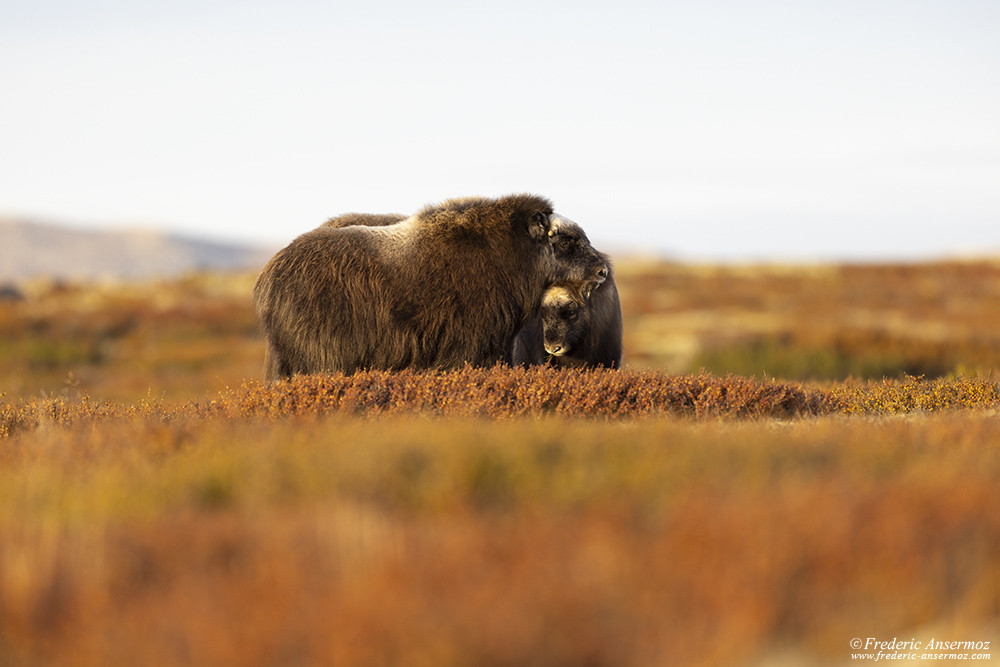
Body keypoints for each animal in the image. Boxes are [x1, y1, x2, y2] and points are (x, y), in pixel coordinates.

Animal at [250, 196, 608, 378]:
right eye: (565, 240)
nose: (603, 270)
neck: (509, 254)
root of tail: (270, 275)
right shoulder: (470, 344)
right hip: (322, 357)